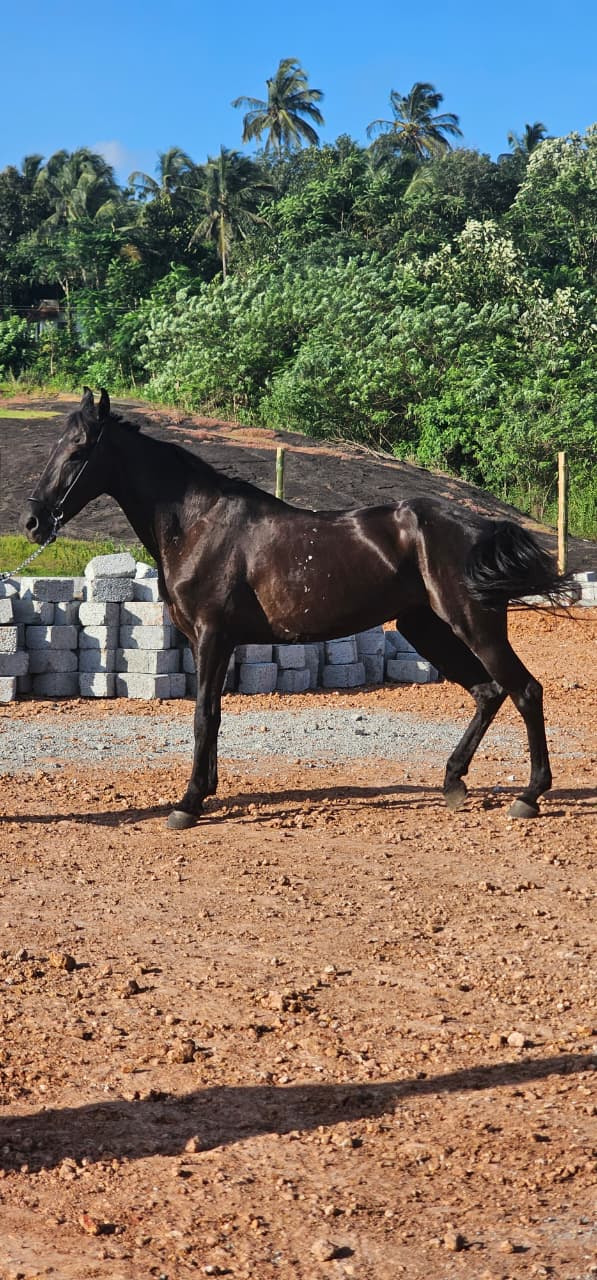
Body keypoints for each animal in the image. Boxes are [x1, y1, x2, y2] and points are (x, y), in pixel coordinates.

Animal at [23, 388, 574, 830]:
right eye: (54, 446)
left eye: (78, 451)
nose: (33, 522)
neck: (199, 524)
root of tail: (481, 527)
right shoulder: (212, 642)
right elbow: (213, 715)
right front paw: (207, 790)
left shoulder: (212, 636)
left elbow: (204, 715)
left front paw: (189, 802)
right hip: (426, 628)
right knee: (488, 692)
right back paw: (454, 782)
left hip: (474, 626)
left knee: (525, 691)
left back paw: (529, 795)